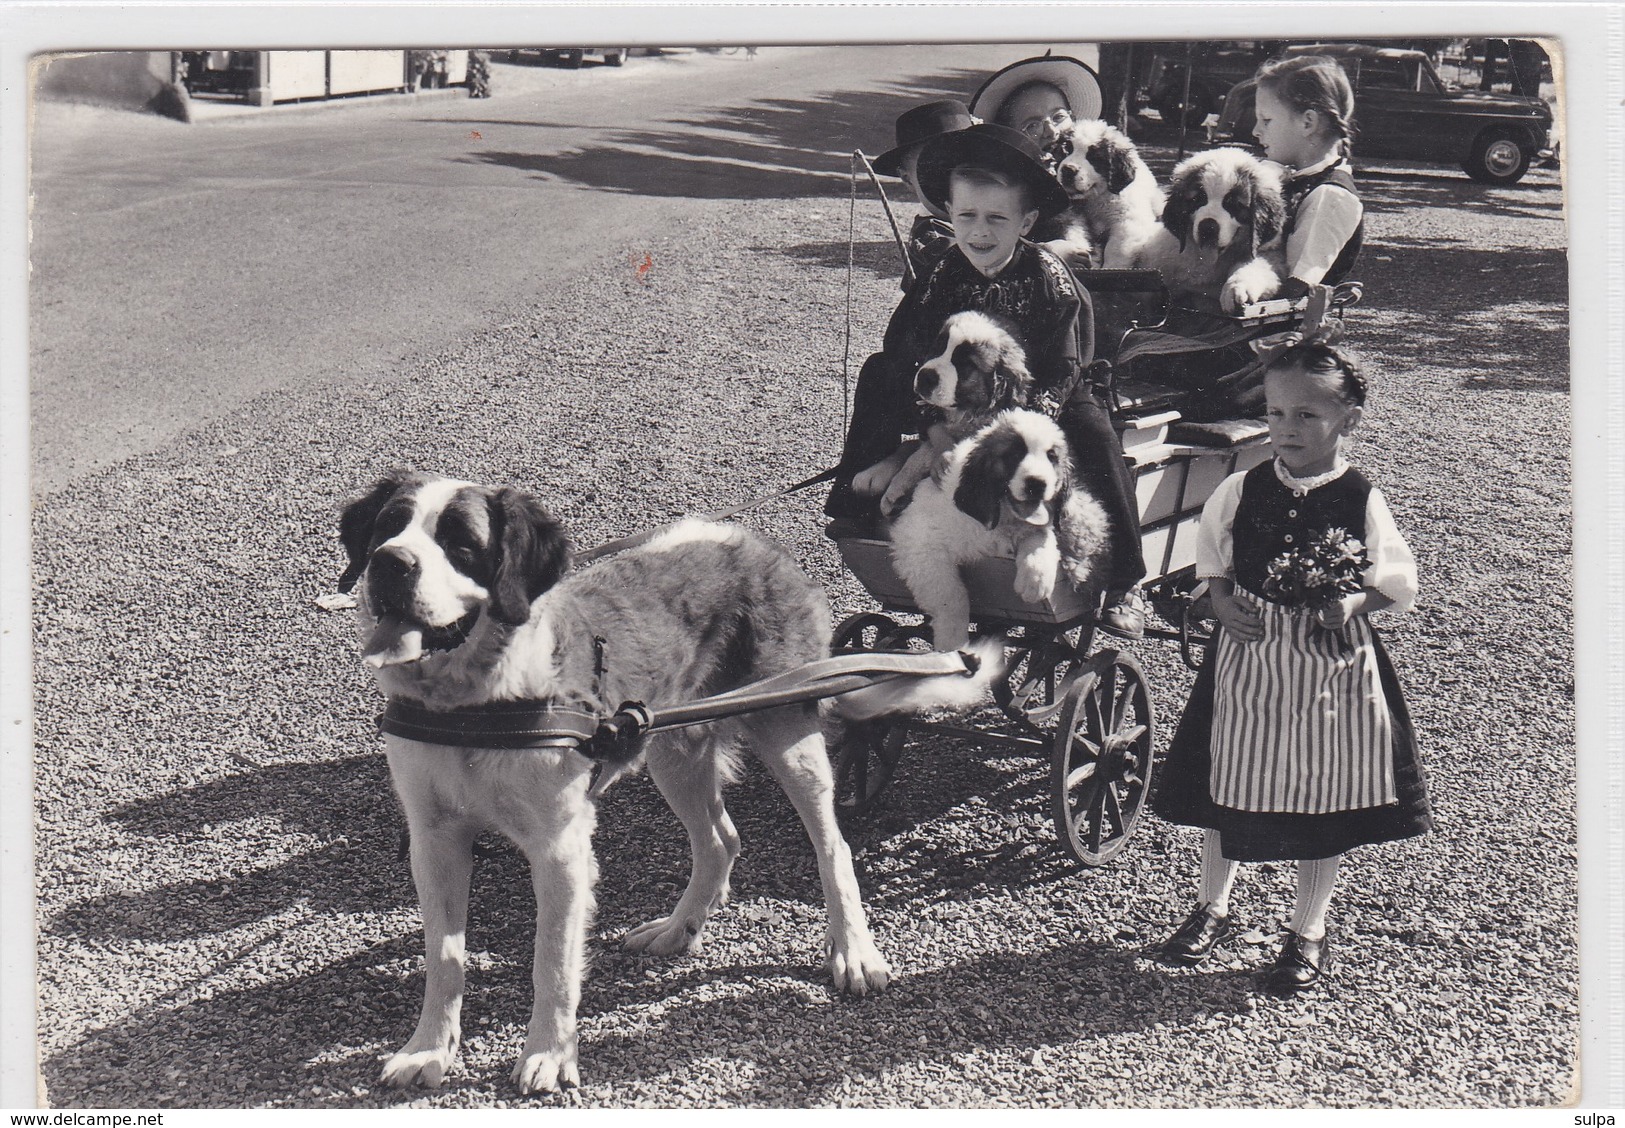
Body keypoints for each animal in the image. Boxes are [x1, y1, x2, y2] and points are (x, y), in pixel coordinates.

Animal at [342, 474, 903, 1098]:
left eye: (460, 542)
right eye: (388, 527)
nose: (389, 563)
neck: (472, 704)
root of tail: (752, 541)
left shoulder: (559, 848)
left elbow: (552, 959)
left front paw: (548, 1054)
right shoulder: (434, 840)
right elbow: (443, 957)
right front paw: (428, 1050)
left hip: (788, 732)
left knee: (832, 845)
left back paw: (853, 951)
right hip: (672, 750)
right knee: (720, 840)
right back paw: (678, 929)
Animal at [877, 312, 1040, 520]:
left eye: (966, 364)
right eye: (939, 346)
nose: (924, 376)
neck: (968, 413)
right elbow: (920, 455)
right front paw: (895, 490)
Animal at [884, 412, 1111, 653]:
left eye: (1051, 457)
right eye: (1015, 454)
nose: (1037, 484)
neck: (1002, 517)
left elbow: (1041, 537)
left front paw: (1035, 579)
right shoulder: (918, 541)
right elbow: (951, 595)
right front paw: (953, 643)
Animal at [1124, 147, 1287, 313]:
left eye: (1233, 203)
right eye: (1198, 199)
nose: (1208, 227)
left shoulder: (1270, 253)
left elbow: (1255, 265)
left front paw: (1235, 288)